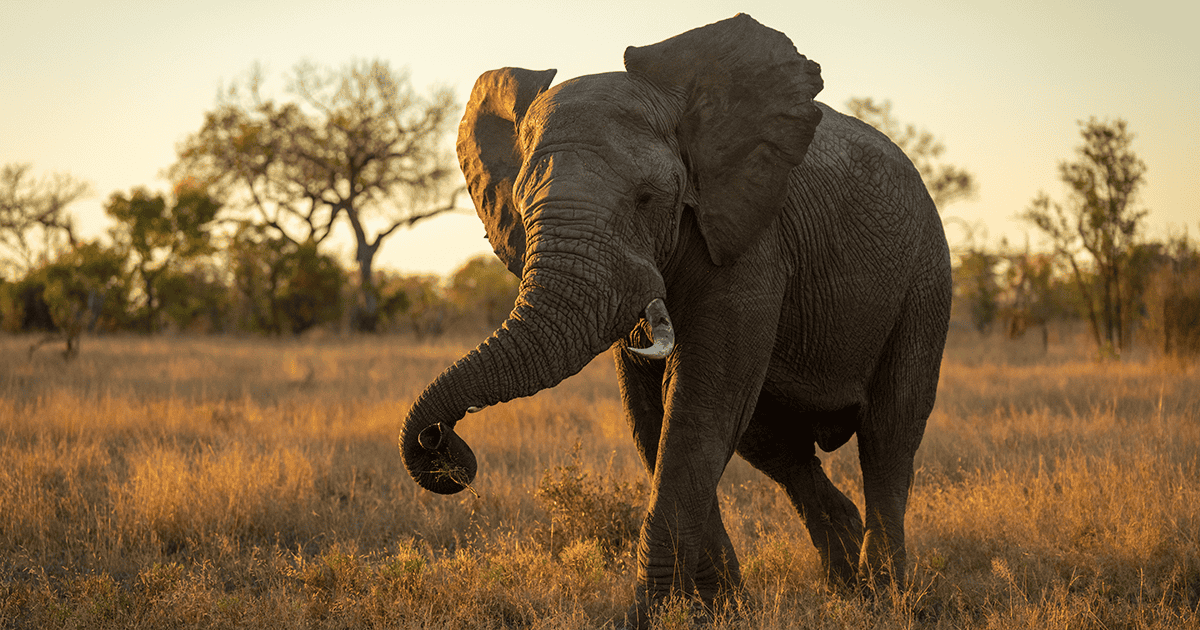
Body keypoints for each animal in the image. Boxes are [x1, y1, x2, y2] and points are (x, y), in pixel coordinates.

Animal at [400, 13, 951, 620]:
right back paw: (845, 585)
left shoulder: (752, 240)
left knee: (888, 434)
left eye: (646, 199)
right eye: (521, 207)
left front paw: (654, 614)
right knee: (776, 447)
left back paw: (884, 598)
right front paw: (721, 611)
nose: (439, 442)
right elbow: (656, 415)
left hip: (925, 280)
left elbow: (698, 402)